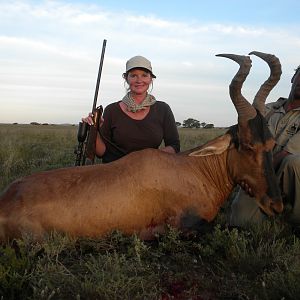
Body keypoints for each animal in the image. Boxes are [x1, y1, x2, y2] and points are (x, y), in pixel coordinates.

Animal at [0, 50, 282, 240]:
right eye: (247, 145)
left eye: (270, 142)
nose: (275, 206)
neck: (192, 168)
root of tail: (7, 197)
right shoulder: (186, 226)